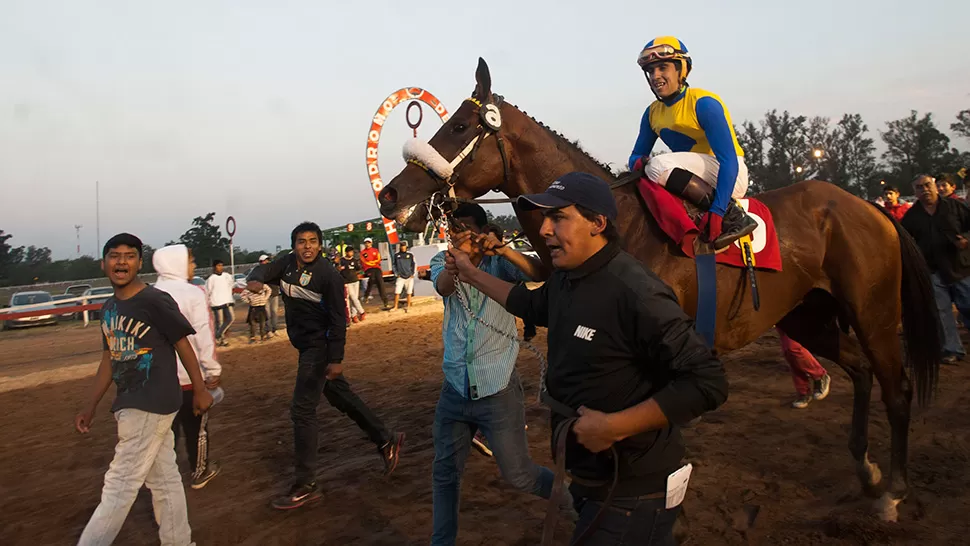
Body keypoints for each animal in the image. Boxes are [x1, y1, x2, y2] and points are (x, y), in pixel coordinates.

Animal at [376, 58, 936, 520]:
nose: (390, 194)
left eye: (460, 126)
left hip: (874, 313)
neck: (616, 226)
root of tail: (871, 208)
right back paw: (866, 470)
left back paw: (894, 491)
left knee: (897, 387)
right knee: (860, 371)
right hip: (807, 315)